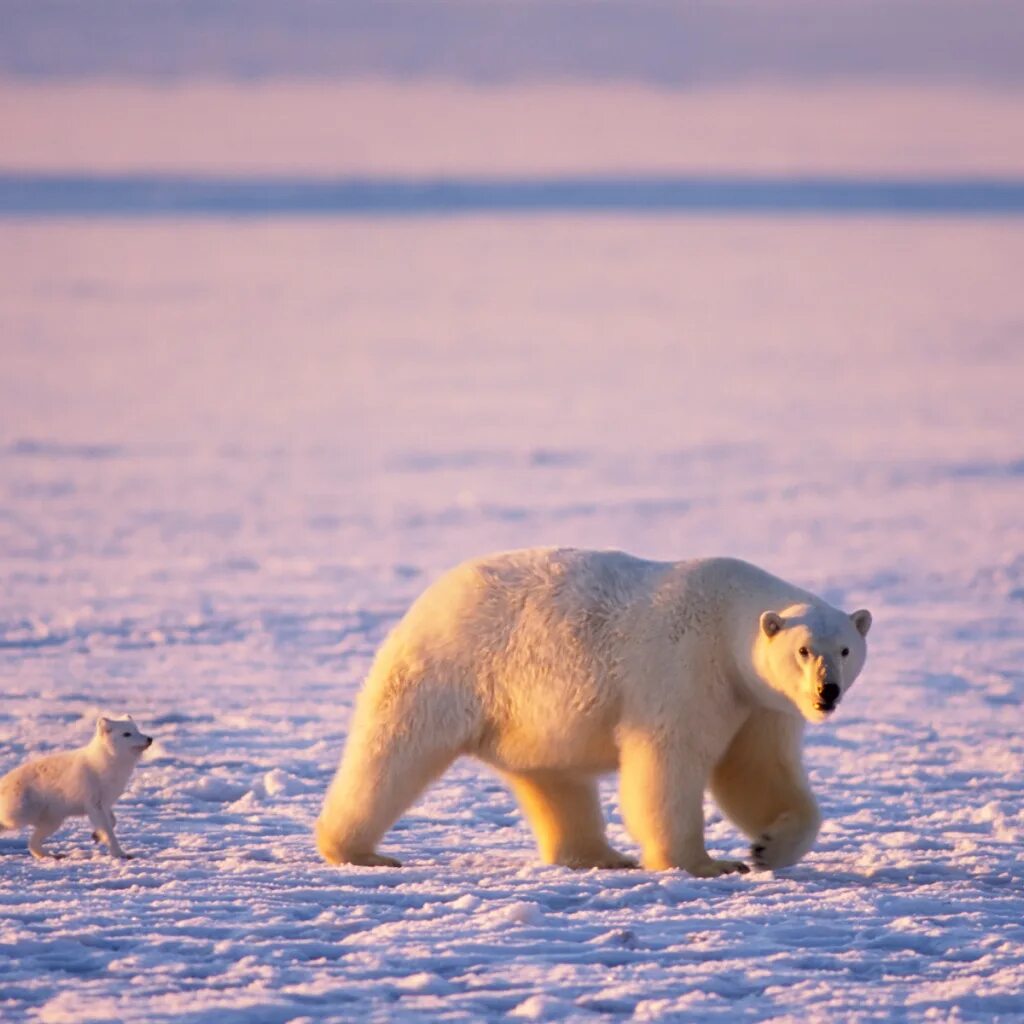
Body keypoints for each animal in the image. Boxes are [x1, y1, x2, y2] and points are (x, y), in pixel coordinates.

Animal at [0, 716, 151, 860]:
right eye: (127, 734)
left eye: (137, 730)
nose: (150, 739)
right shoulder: (94, 803)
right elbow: (108, 831)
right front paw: (119, 853)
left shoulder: (104, 803)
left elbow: (113, 821)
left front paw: (96, 835)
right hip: (19, 816)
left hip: (53, 821)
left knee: (32, 844)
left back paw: (53, 856)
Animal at [313, 548, 872, 876]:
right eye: (804, 650)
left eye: (846, 649)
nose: (826, 692)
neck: (727, 617)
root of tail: (429, 597)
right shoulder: (685, 669)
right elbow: (668, 763)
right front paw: (706, 863)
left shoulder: (759, 702)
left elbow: (756, 770)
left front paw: (767, 847)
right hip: (452, 669)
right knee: (394, 752)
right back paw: (358, 850)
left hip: (528, 716)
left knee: (555, 780)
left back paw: (600, 856)